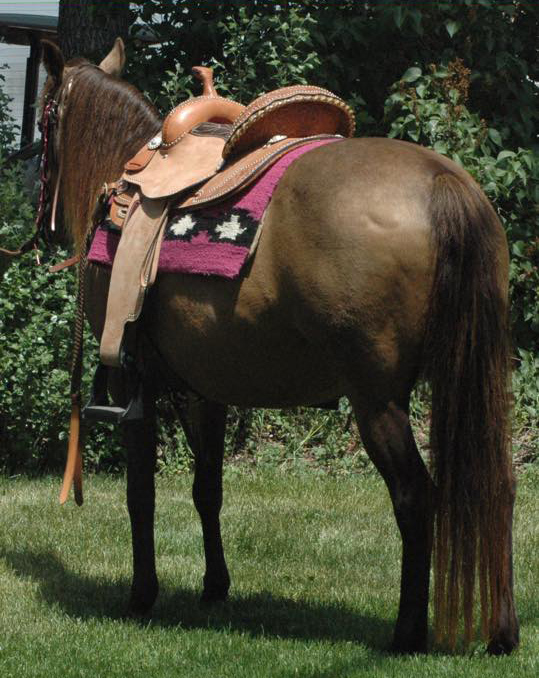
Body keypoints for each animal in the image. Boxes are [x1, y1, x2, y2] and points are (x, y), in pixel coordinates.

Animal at [38, 38, 518, 655]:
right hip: (474, 384)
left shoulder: (131, 381)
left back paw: (406, 633)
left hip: (377, 401)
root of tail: (441, 182)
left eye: (44, 119)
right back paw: (502, 632)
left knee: (415, 496)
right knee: (497, 487)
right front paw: (215, 586)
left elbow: (140, 495)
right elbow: (207, 489)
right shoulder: (206, 390)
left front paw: (142, 596)